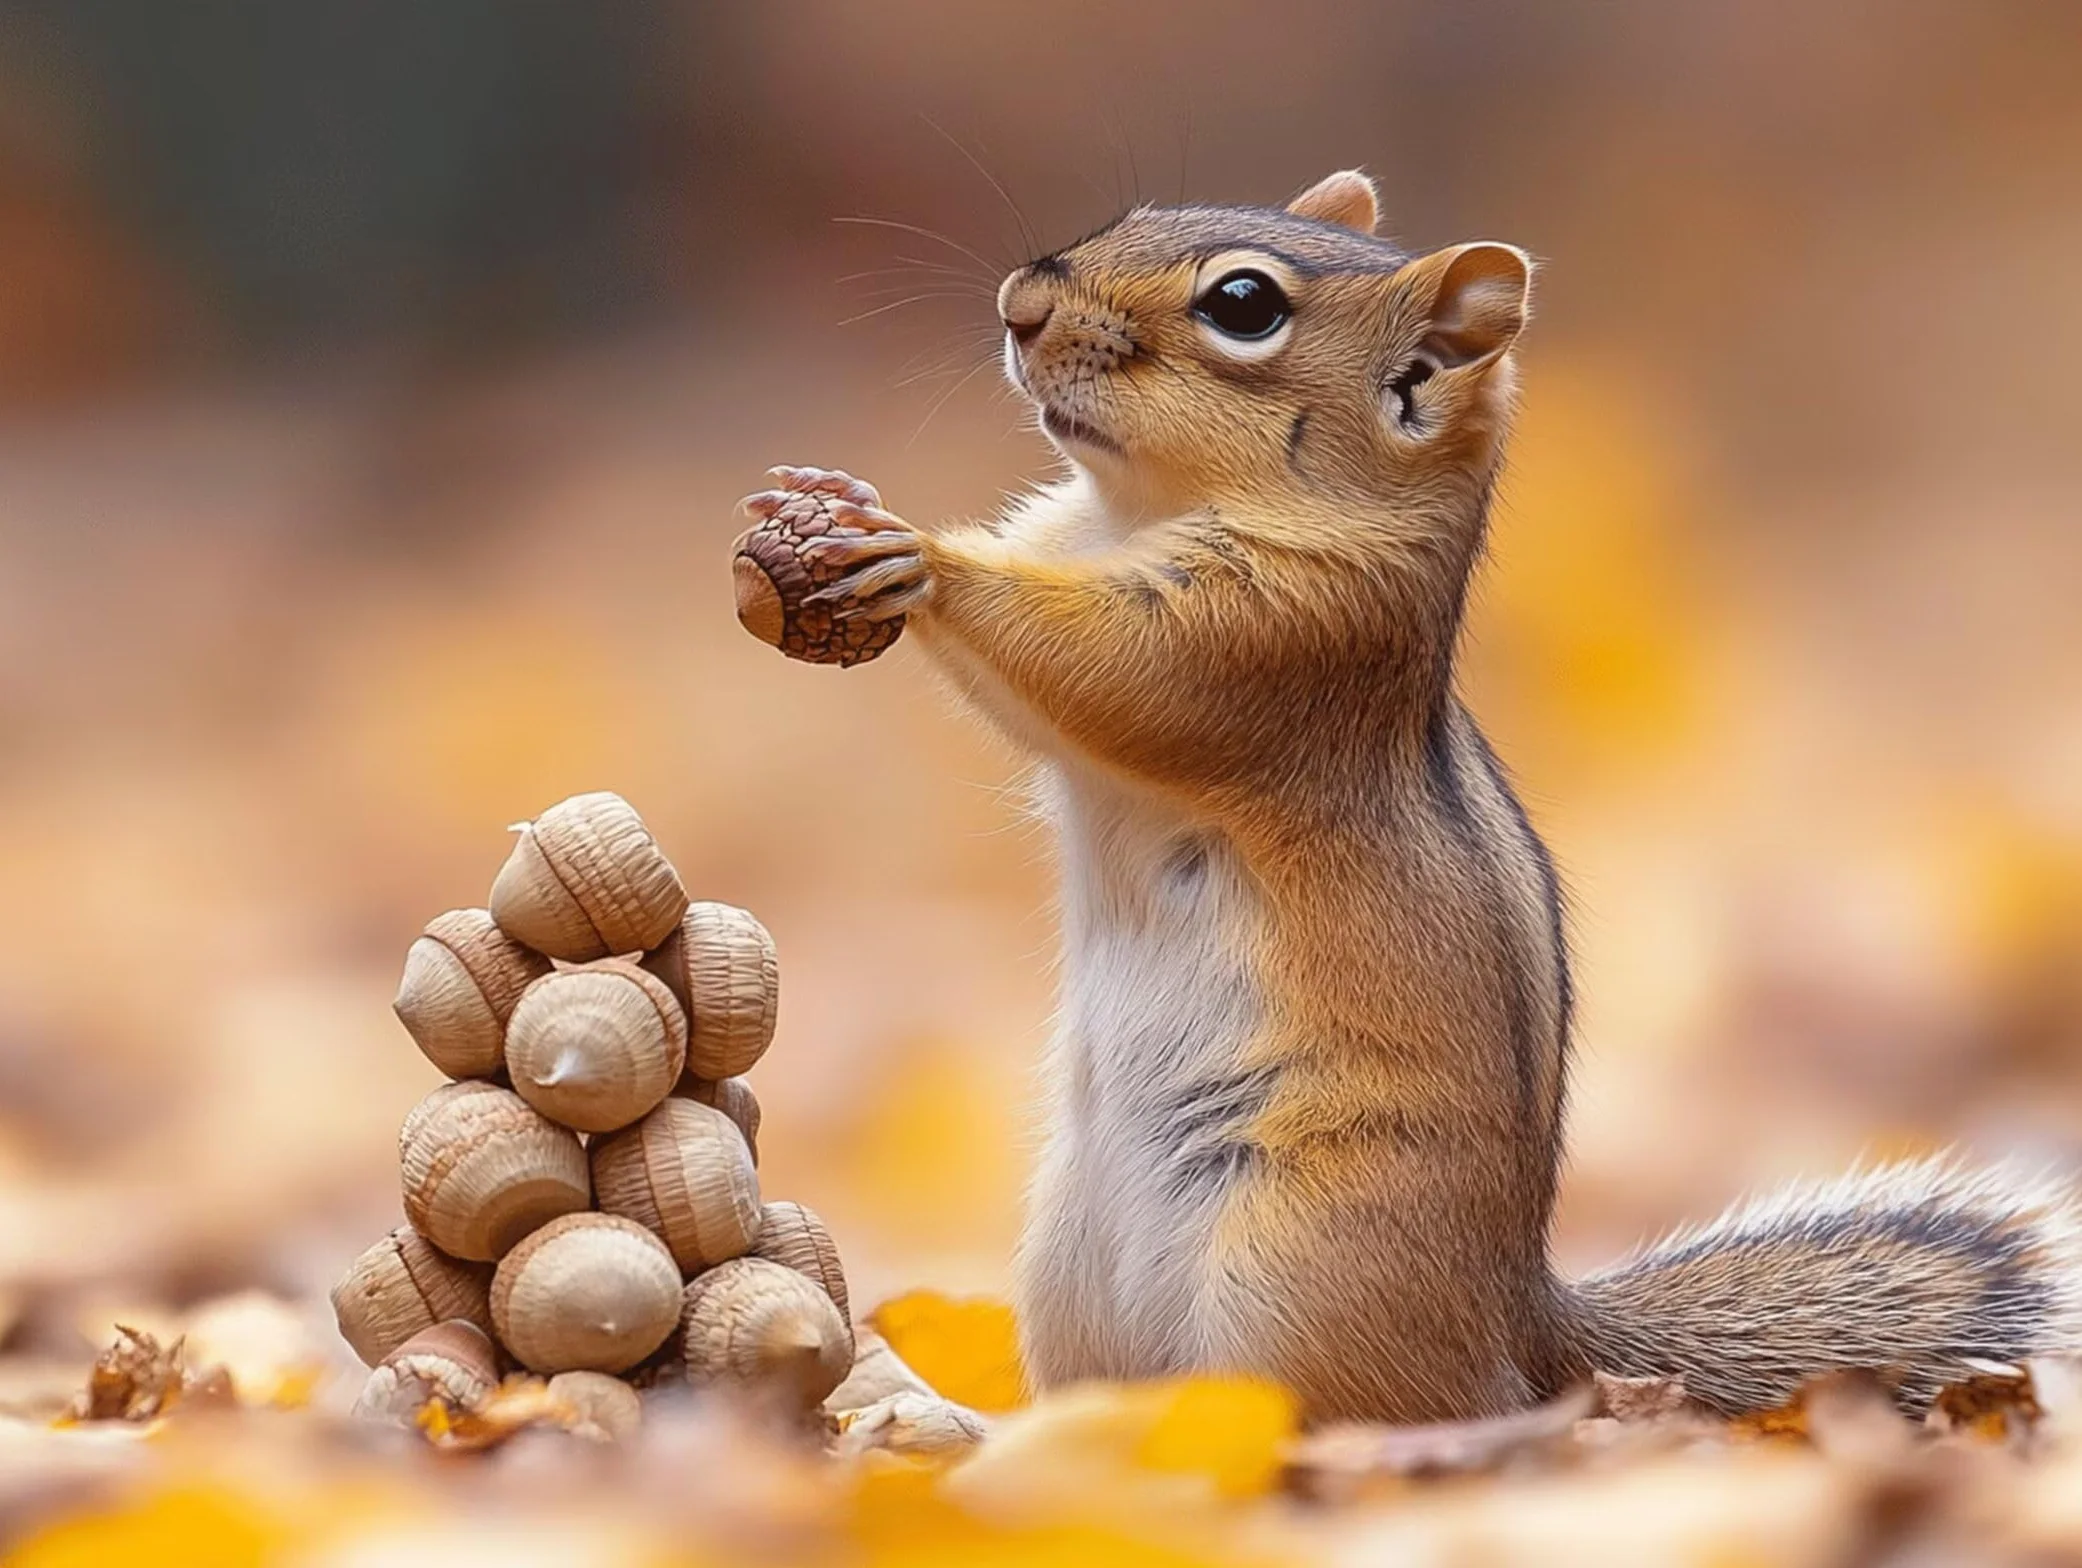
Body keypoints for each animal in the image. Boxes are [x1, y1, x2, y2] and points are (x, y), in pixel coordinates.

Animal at [738, 169, 2082, 1423]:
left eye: (1244, 304)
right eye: (1141, 211)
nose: (1019, 305)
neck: (1140, 510)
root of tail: (1523, 1330)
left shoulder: (1275, 641)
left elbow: (1101, 673)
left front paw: (914, 554)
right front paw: (825, 503)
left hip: (1305, 1257)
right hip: (1071, 1276)